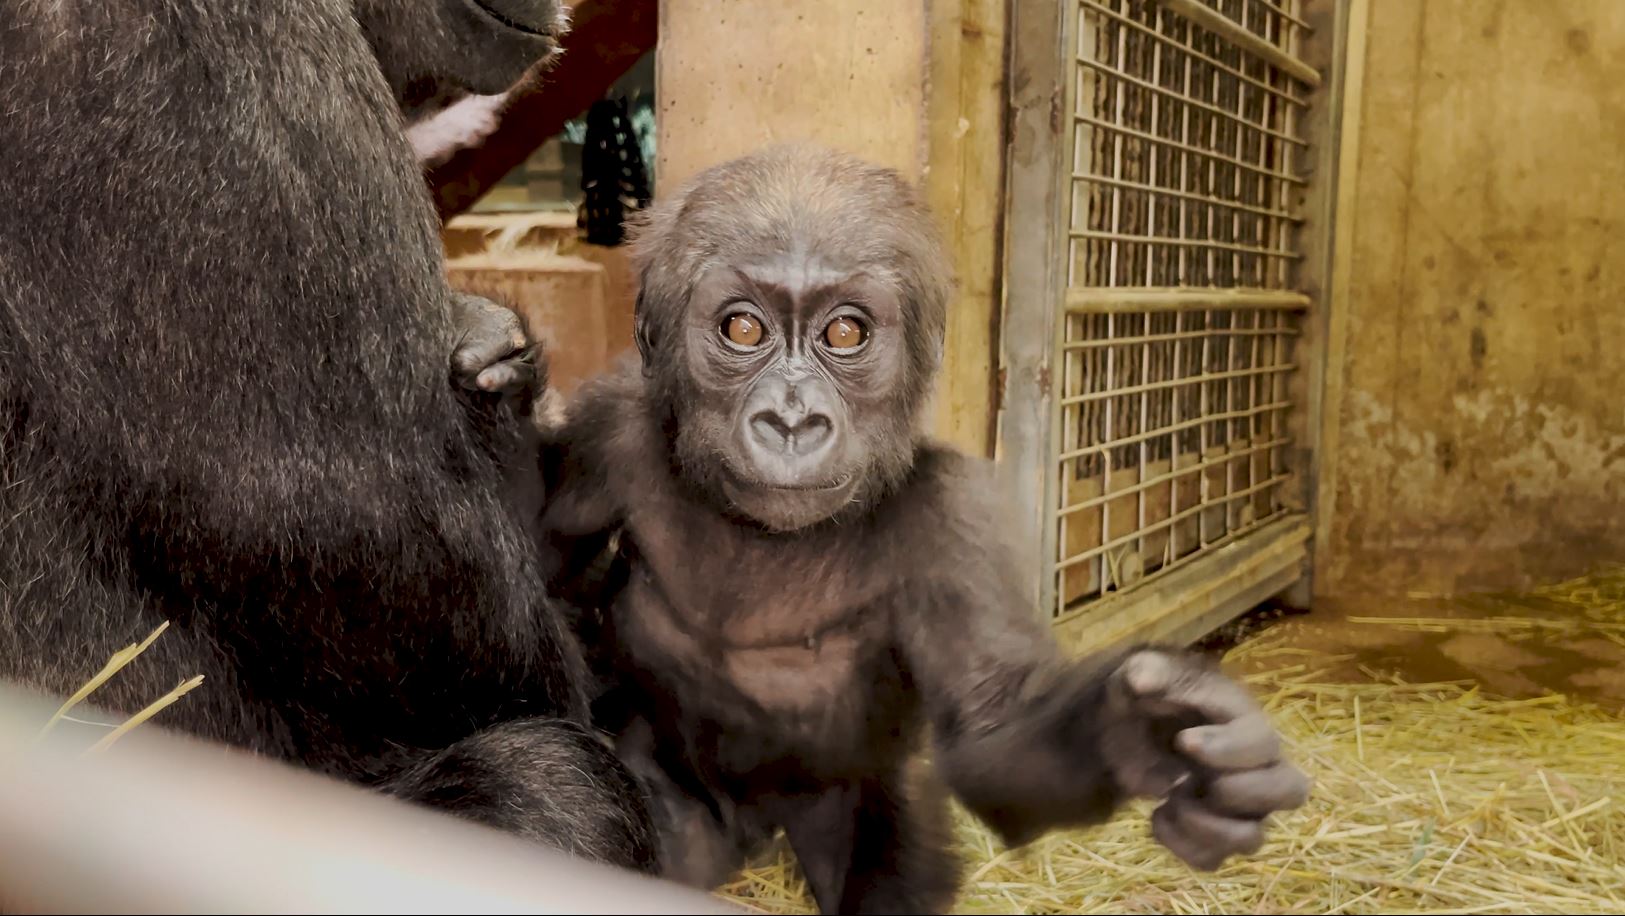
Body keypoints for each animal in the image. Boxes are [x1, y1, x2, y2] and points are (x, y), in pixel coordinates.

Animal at [539, 146, 1313, 909]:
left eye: (844, 332)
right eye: (743, 328)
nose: (791, 419)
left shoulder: (953, 522)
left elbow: (996, 730)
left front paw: (1134, 730)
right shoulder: (607, 430)